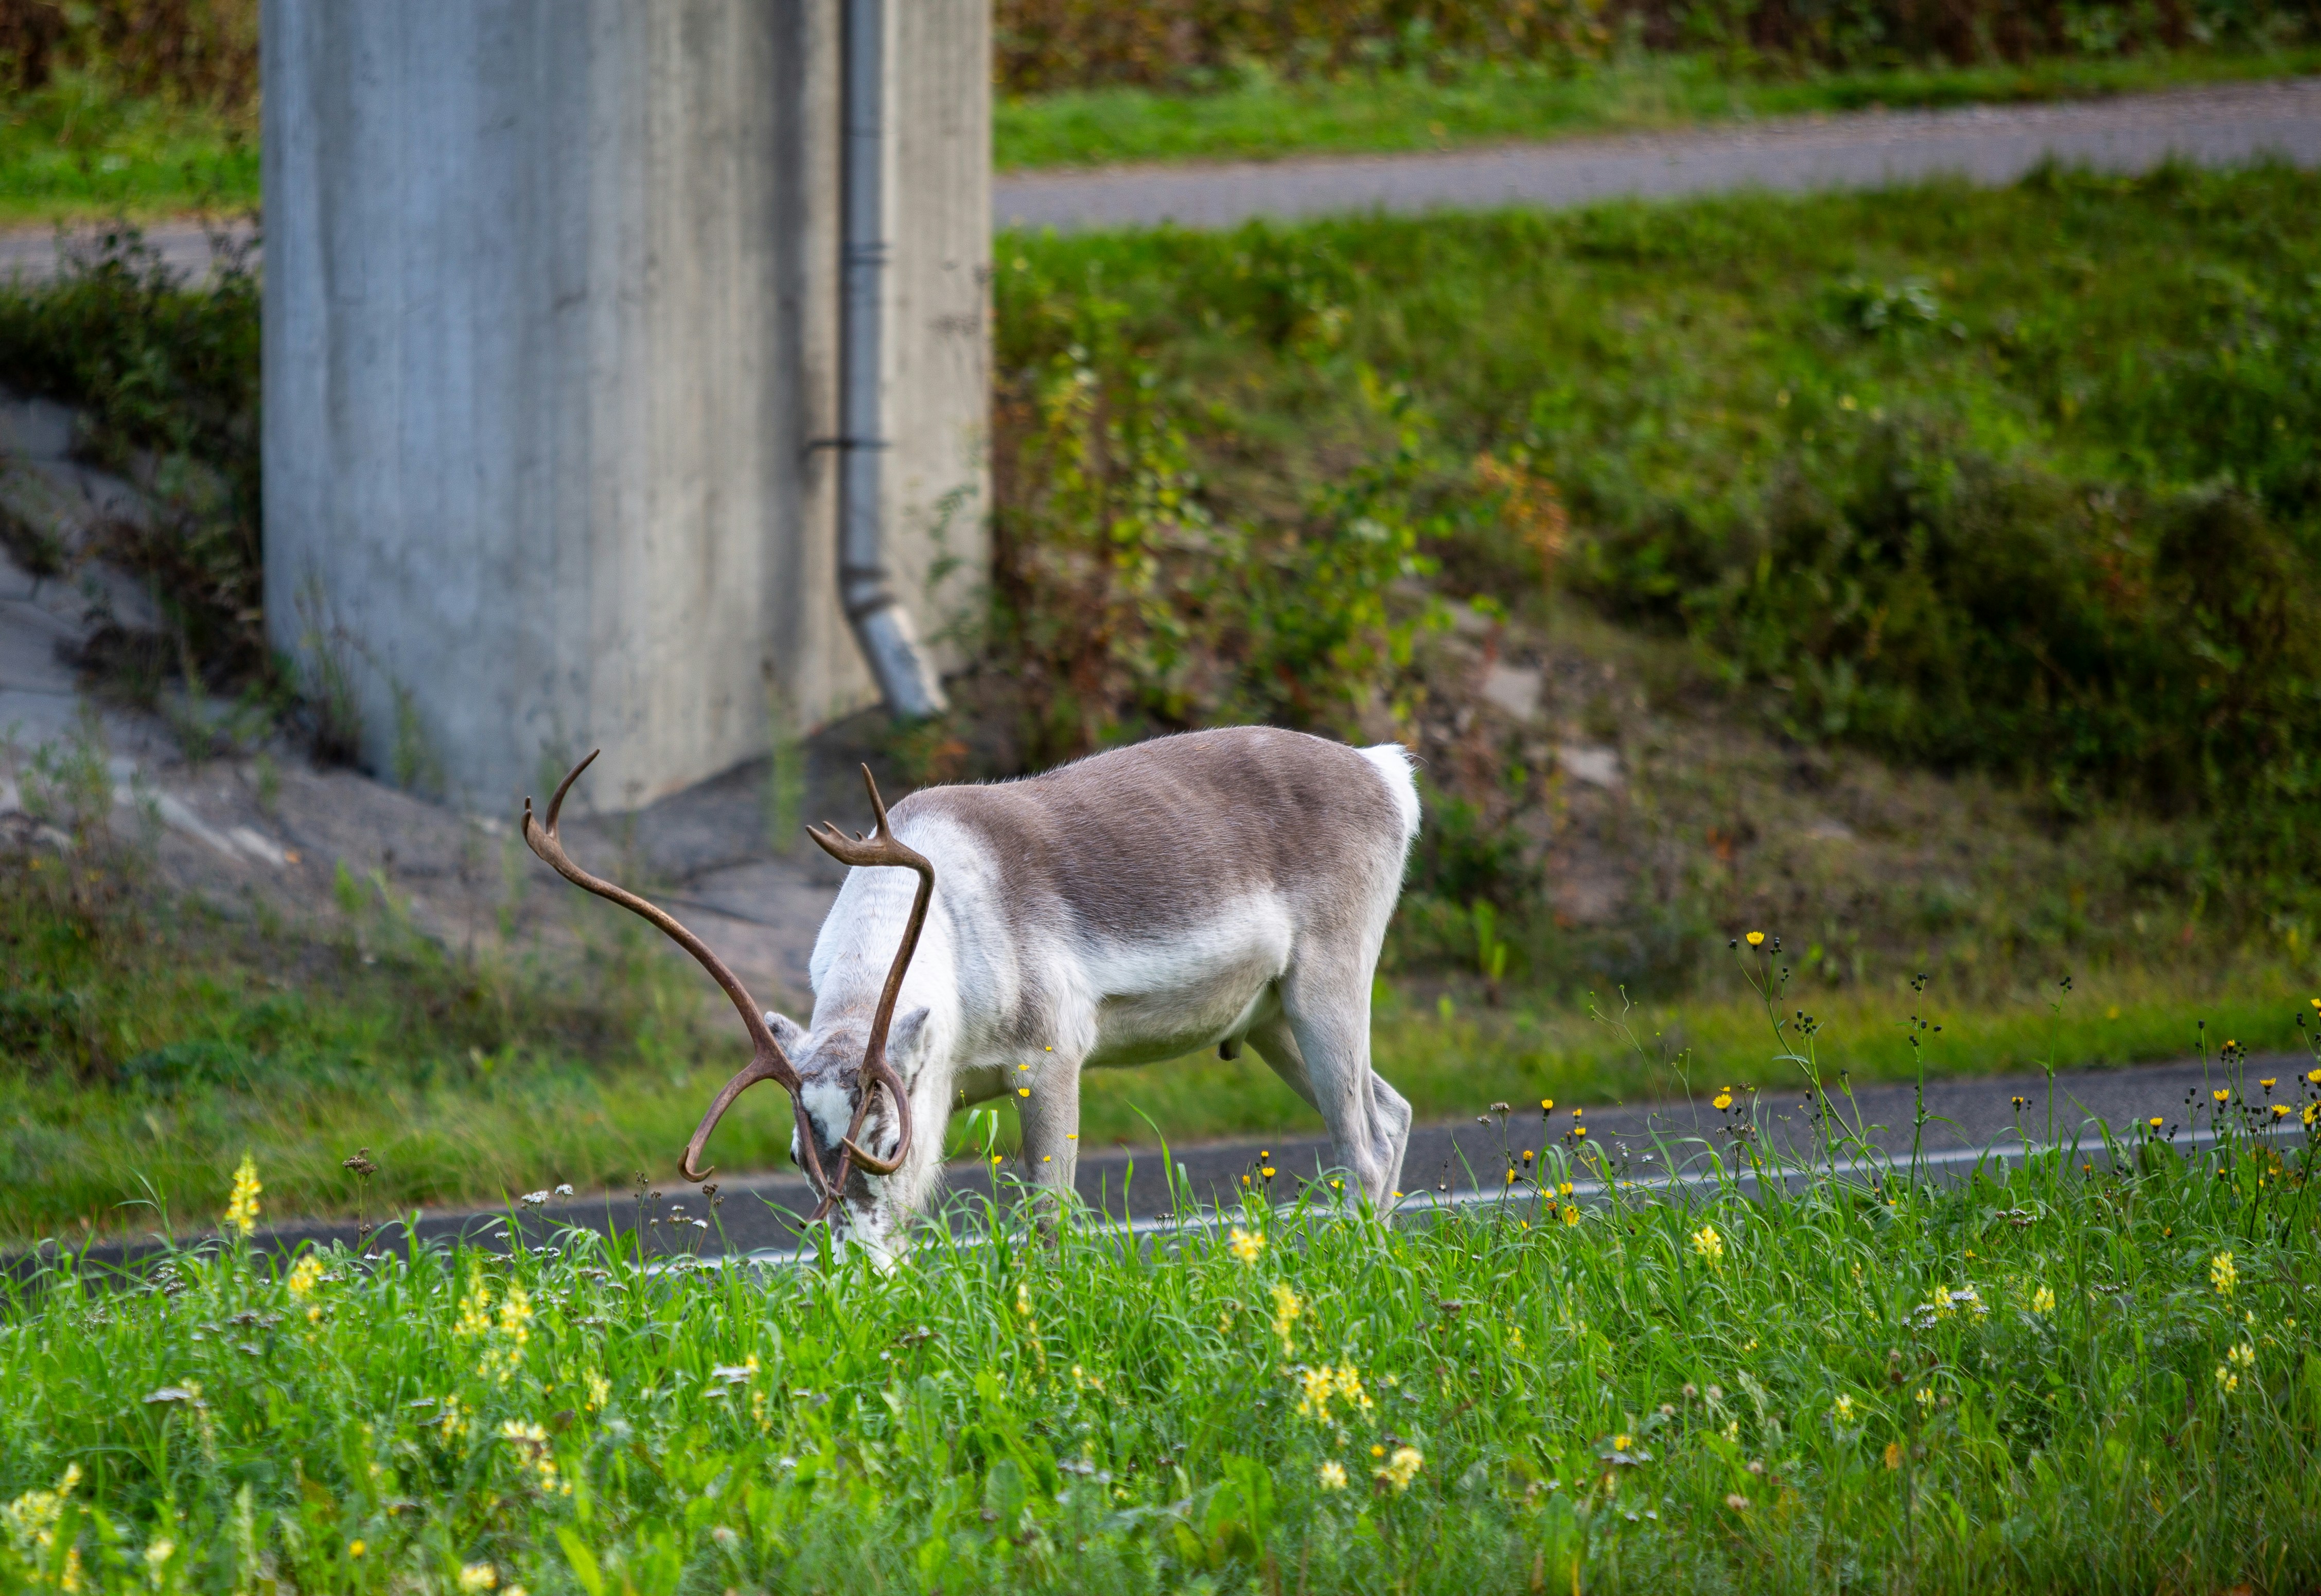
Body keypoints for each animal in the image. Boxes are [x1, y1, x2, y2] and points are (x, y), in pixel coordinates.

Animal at [523, 725, 1420, 1252]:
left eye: (881, 1137)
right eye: (796, 1151)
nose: (857, 1272)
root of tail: (1386, 773)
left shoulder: (1050, 1062)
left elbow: (1047, 1223)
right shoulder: (953, 1085)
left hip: (1329, 983)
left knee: (1366, 1146)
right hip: (1270, 1020)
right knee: (1393, 1109)